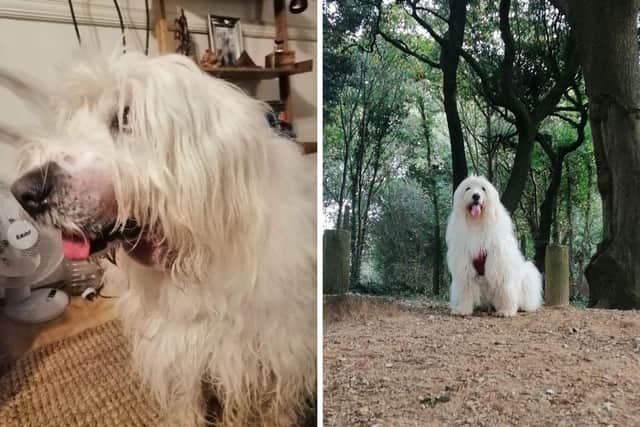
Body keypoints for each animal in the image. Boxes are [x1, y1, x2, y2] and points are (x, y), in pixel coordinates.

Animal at [3, 51, 316, 426]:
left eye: (125, 116)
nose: (23, 193)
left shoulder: (281, 349)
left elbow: (276, 408)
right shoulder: (178, 347)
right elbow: (186, 399)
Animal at [448, 175, 544, 318]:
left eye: (483, 189)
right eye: (468, 188)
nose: (476, 196)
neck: (477, 223)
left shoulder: (500, 264)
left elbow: (504, 289)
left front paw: (506, 310)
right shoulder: (464, 266)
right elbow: (466, 289)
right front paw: (463, 309)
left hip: (527, 275)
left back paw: (523, 307)